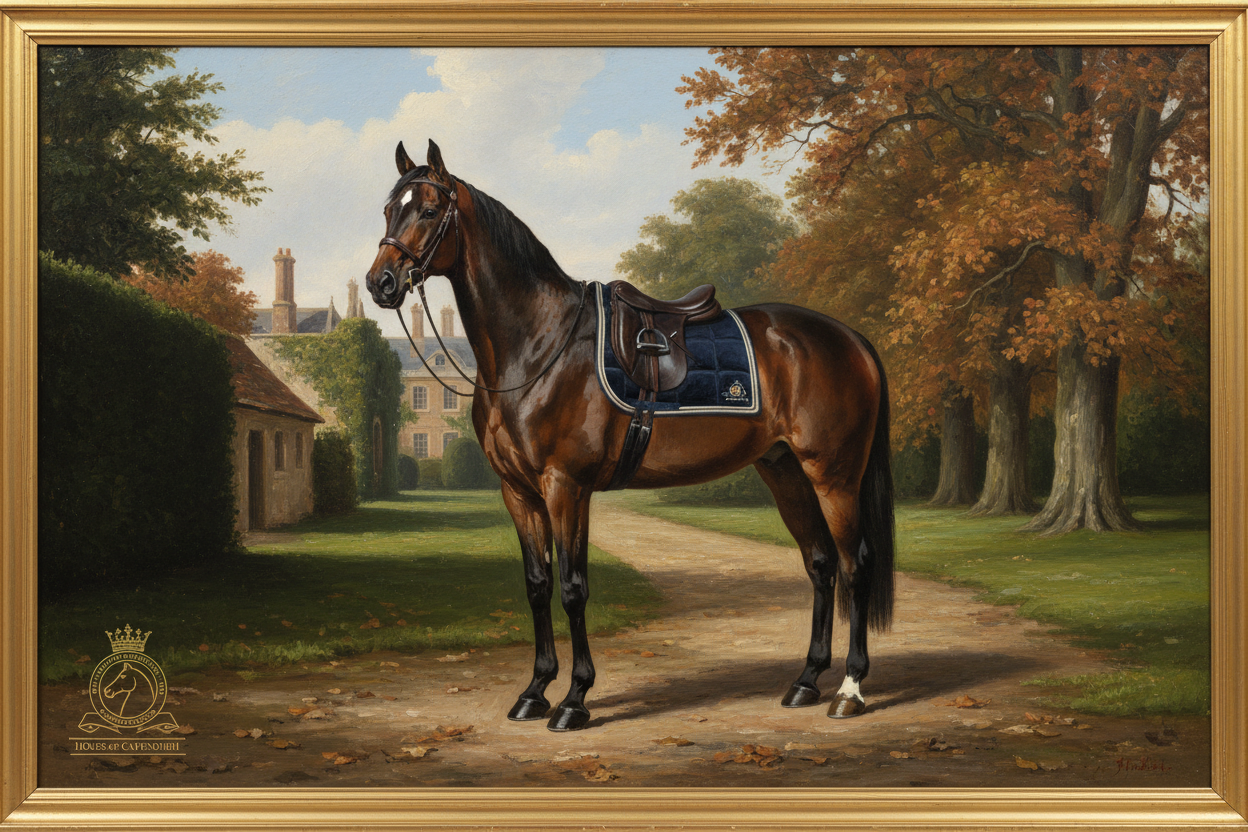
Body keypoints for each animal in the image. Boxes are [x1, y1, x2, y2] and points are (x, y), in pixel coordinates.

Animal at [365, 140, 895, 732]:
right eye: (388, 210)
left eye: (429, 210)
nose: (380, 283)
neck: (539, 345)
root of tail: (850, 337)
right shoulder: (518, 491)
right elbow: (537, 585)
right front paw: (535, 691)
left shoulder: (566, 487)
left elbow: (573, 588)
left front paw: (575, 699)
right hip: (784, 470)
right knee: (821, 564)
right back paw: (805, 681)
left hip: (834, 475)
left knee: (856, 565)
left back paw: (849, 690)